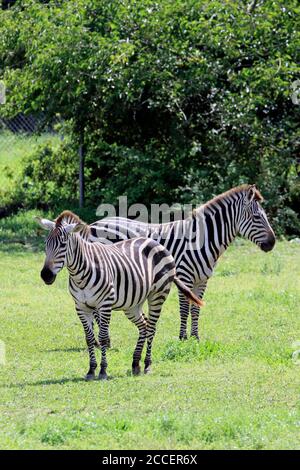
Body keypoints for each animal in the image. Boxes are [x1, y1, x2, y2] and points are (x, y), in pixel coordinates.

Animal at [35, 211, 204, 380]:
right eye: (46, 244)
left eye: (63, 244)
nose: (46, 275)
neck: (80, 275)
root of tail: (155, 242)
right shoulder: (81, 307)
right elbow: (89, 339)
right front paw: (91, 370)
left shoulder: (104, 305)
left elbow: (102, 338)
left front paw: (103, 370)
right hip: (132, 304)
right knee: (144, 326)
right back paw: (135, 363)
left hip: (157, 295)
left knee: (151, 328)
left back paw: (147, 365)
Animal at [88, 184, 276, 342]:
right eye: (257, 217)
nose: (272, 243)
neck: (201, 240)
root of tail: (92, 225)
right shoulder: (184, 276)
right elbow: (184, 309)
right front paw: (183, 337)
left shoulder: (202, 280)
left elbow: (196, 308)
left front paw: (195, 337)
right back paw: (102, 341)